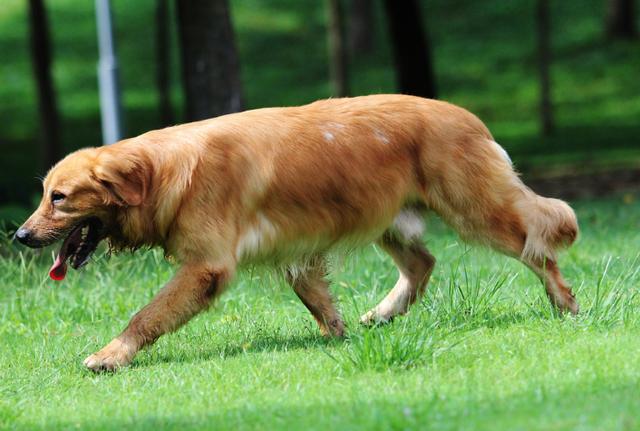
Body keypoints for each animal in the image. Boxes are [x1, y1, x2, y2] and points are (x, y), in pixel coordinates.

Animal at [15, 94, 576, 372]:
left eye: (58, 197)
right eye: (44, 194)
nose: (19, 236)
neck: (163, 171)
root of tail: (470, 118)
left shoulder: (207, 266)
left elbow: (146, 315)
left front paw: (112, 355)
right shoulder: (295, 252)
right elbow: (318, 301)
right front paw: (339, 336)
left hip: (475, 211)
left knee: (538, 244)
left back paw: (564, 302)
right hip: (385, 215)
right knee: (423, 263)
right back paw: (383, 312)